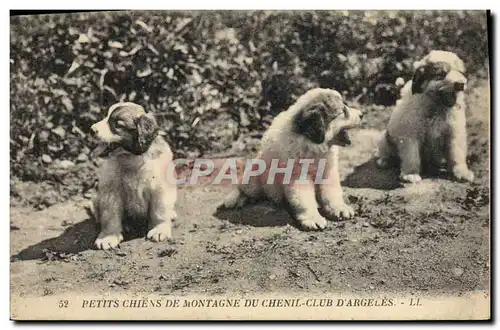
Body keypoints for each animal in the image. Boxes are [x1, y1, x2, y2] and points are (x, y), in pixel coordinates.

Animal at [89, 102, 177, 249]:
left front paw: (159, 230)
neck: (132, 159)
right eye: (106, 117)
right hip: (96, 195)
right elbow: (109, 215)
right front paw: (108, 236)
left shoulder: (160, 188)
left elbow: (159, 210)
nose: (91, 129)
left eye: (117, 124)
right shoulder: (110, 190)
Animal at [219, 89, 364, 231]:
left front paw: (339, 208)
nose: (362, 114)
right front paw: (313, 218)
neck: (312, 145)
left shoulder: (328, 171)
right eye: (343, 111)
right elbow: (305, 199)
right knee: (244, 189)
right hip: (254, 177)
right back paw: (236, 199)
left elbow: (332, 192)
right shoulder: (298, 176)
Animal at [376, 50, 474, 183]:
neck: (435, 104)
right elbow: (411, 156)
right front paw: (410, 174)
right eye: (441, 74)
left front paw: (461, 172)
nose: (461, 84)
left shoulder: (454, 133)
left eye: (460, 72)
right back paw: (384, 161)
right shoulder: (409, 135)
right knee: (386, 152)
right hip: (384, 138)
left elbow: (456, 153)